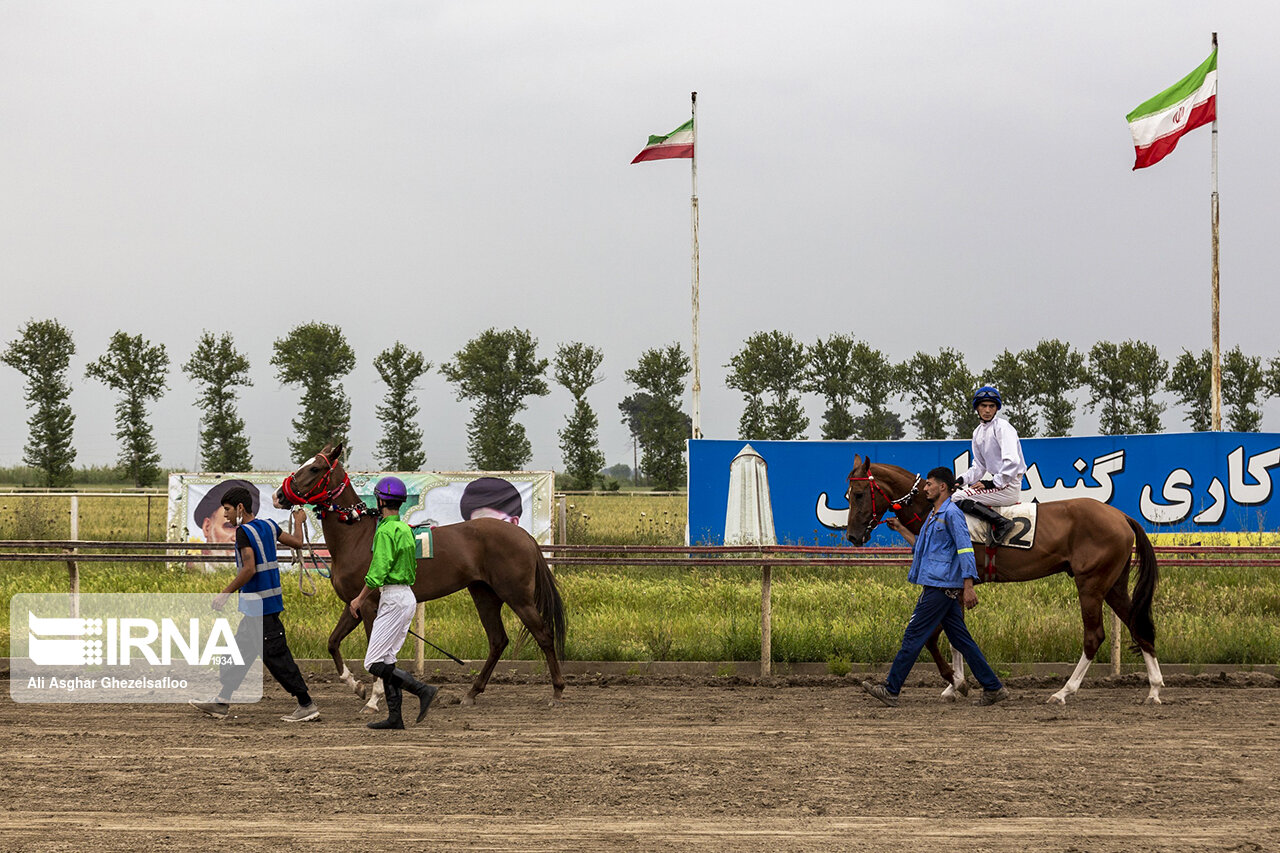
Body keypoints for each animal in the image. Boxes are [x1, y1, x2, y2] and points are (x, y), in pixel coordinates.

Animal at [277, 440, 568, 706]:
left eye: (314, 468)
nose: (279, 495)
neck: (356, 536)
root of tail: (524, 535)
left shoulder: (370, 605)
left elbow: (374, 651)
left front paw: (375, 696)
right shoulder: (354, 604)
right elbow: (333, 642)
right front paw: (355, 685)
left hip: (517, 595)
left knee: (543, 635)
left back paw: (557, 690)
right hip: (485, 594)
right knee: (498, 640)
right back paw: (472, 693)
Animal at [844, 455, 1167, 701]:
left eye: (858, 494)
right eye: (848, 495)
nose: (853, 536)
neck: (936, 510)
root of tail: (1121, 516)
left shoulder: (954, 585)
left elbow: (935, 636)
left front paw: (956, 682)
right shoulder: (955, 587)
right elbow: (953, 637)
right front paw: (954, 685)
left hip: (1091, 584)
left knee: (1094, 636)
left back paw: (1064, 691)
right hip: (1113, 585)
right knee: (1137, 625)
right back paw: (1153, 689)